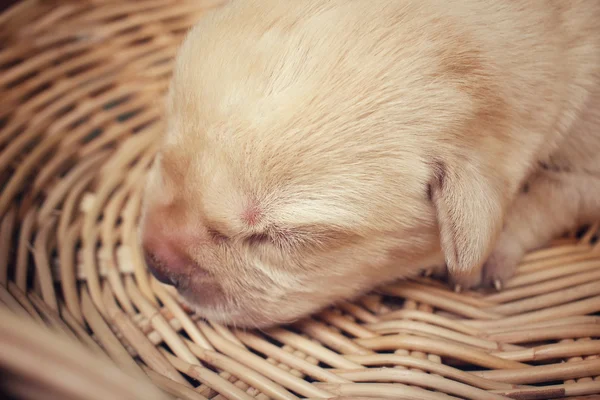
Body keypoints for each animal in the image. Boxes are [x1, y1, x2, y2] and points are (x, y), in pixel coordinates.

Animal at [138, 0, 600, 328]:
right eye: (168, 162)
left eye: (275, 238)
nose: (156, 265)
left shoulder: (586, 169)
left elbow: (549, 195)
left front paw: (488, 254)